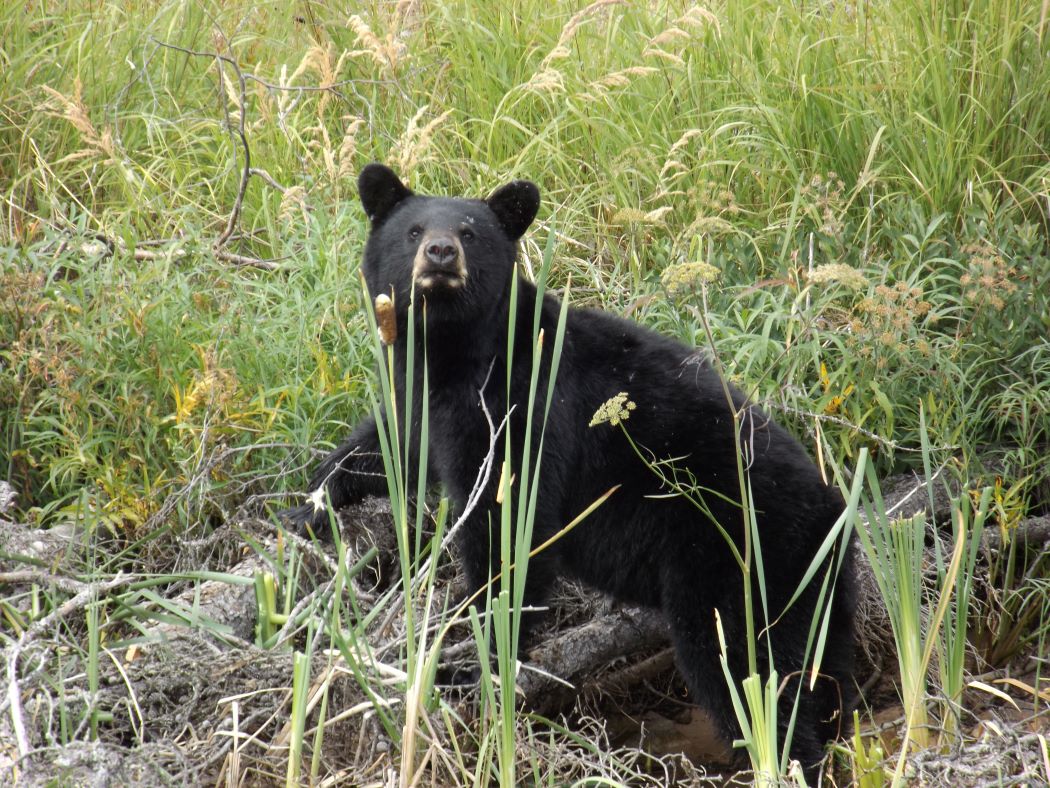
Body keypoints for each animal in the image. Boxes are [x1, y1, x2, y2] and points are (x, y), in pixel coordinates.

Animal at [280, 163, 857, 777]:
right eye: (412, 230)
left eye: (469, 232)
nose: (440, 253)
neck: (455, 351)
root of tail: (832, 513)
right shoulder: (422, 401)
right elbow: (384, 445)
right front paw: (306, 506)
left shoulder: (521, 408)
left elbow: (509, 528)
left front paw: (476, 661)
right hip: (816, 595)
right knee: (822, 678)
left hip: (739, 564)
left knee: (748, 672)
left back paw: (785, 759)